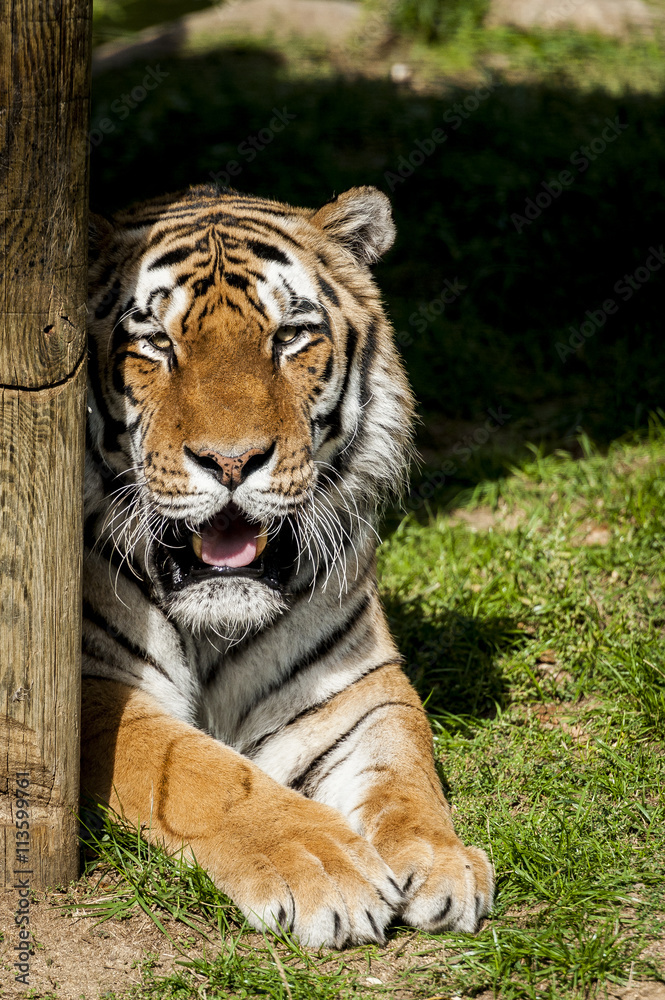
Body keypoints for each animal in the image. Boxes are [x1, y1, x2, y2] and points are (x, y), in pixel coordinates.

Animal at [81, 183, 493, 948]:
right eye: (154, 344)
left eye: (289, 337)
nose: (231, 461)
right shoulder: (94, 688)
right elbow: (200, 771)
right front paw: (323, 865)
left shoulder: (356, 686)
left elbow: (404, 768)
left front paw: (441, 859)